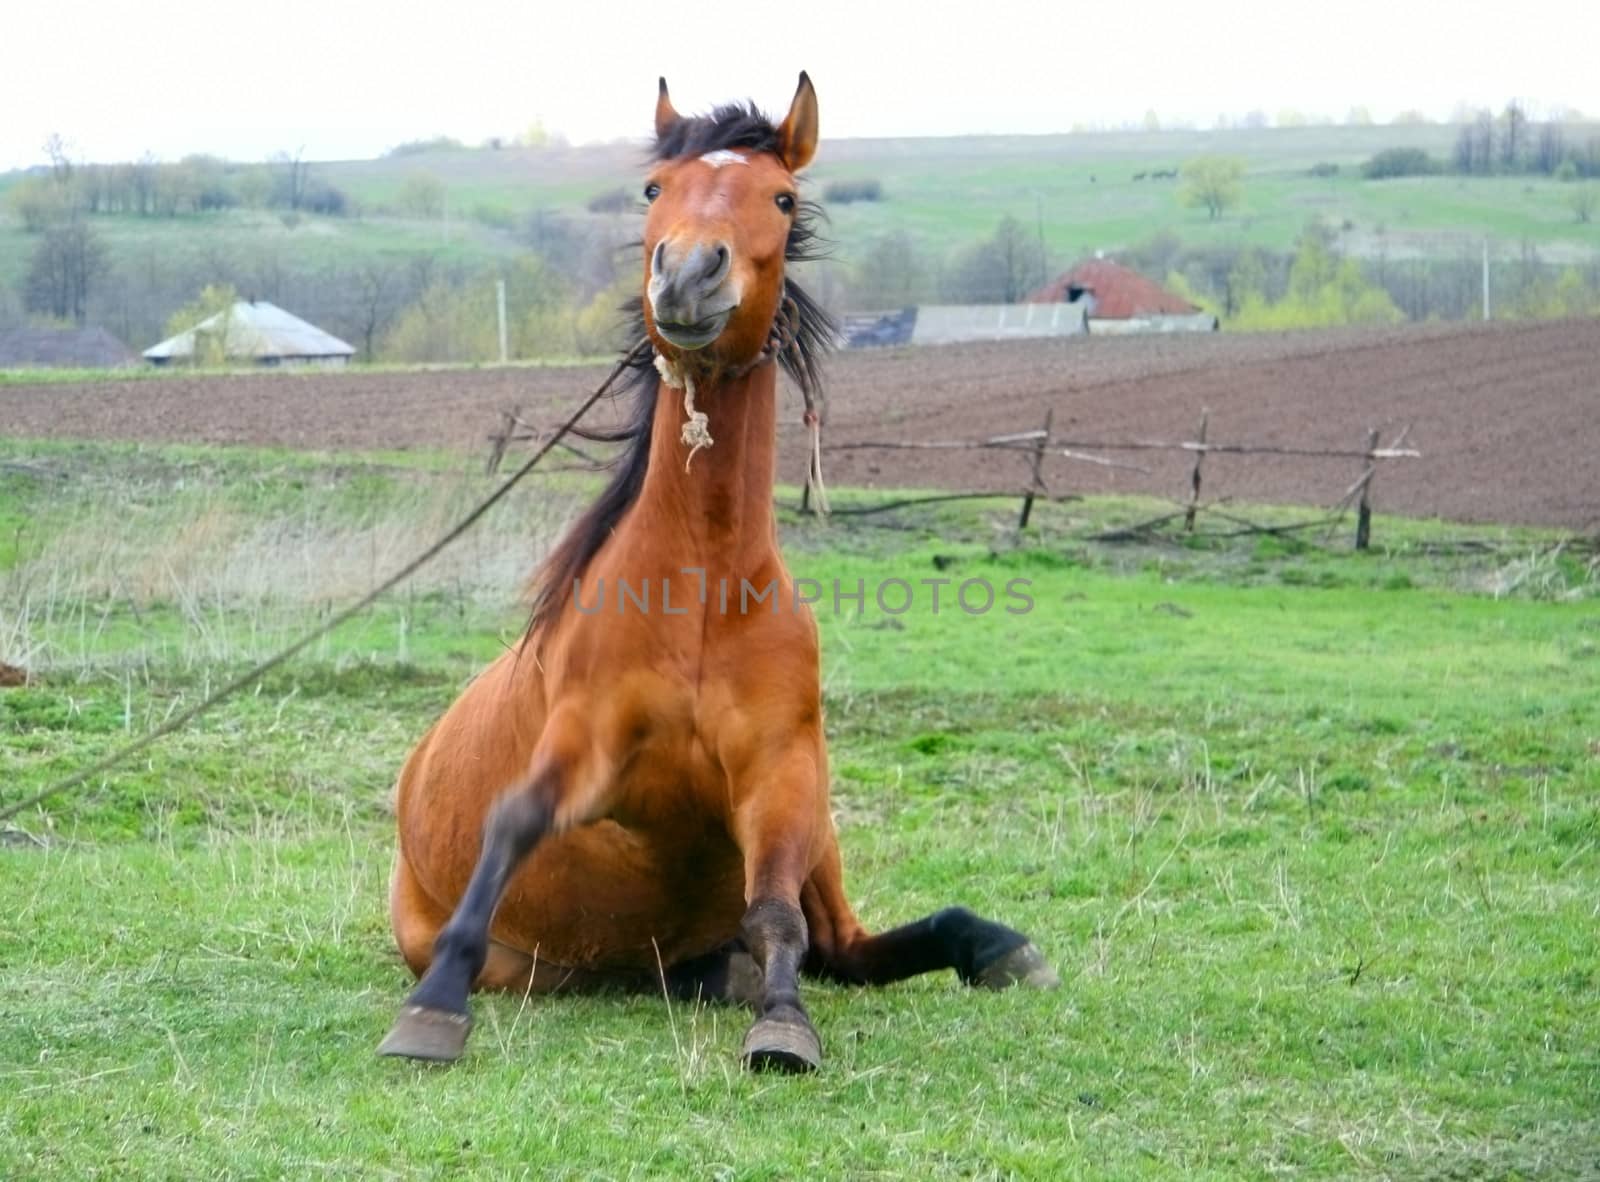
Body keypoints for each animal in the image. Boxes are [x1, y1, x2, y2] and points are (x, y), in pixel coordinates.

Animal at [371, 71, 1049, 1074]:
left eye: (783, 198)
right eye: (657, 189)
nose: (688, 273)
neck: (698, 592)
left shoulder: (784, 775)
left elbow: (776, 918)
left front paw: (784, 1023)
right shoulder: (583, 749)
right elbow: (513, 824)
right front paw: (432, 1008)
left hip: (821, 838)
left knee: (843, 944)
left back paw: (988, 948)